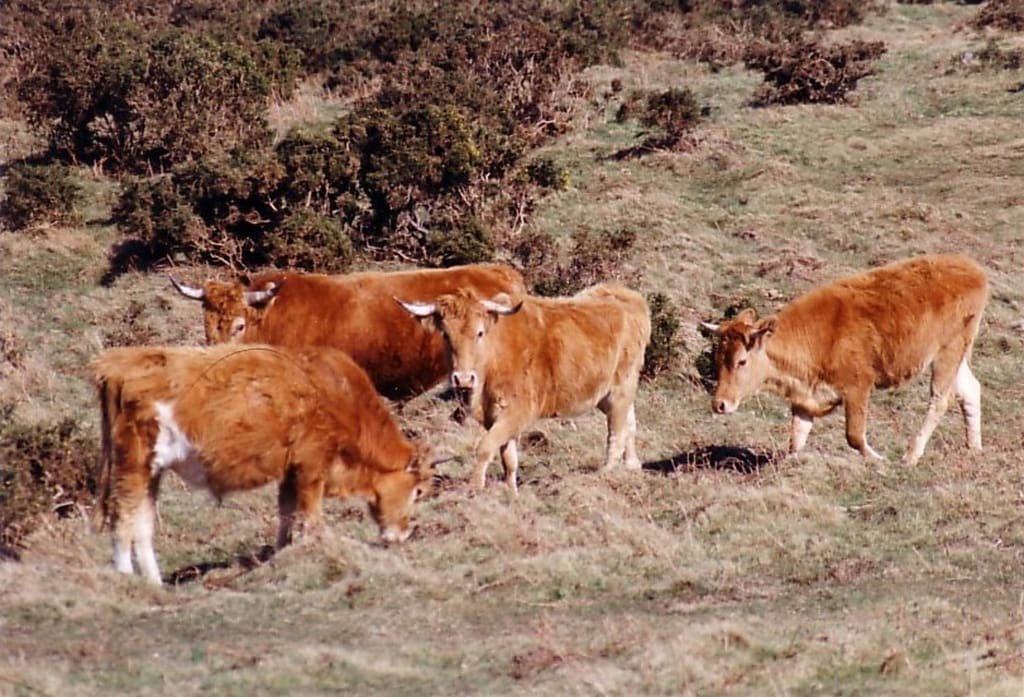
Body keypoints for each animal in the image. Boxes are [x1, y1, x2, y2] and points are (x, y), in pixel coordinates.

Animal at [91, 343, 435, 584]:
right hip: (134, 462)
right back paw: (125, 578)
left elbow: (286, 514)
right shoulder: (312, 467)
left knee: (143, 523)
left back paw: (154, 582)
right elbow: (311, 518)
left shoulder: (290, 471)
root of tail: (120, 362)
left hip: (152, 471)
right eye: (418, 492)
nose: (403, 534)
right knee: (123, 516)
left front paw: (280, 555)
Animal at [398, 283, 651, 492]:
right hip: (609, 395)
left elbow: (485, 447)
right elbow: (508, 457)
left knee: (616, 433)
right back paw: (632, 465)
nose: (463, 378)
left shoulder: (517, 411)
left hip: (621, 388)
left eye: (479, 333)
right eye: (445, 334)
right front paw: (511, 490)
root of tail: (627, 296)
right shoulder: (496, 415)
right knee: (630, 422)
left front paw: (475, 486)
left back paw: (606, 472)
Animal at [701, 254, 989, 464]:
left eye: (741, 361)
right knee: (970, 390)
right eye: (717, 359)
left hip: (948, 352)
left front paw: (878, 460)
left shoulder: (857, 388)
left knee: (940, 400)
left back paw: (910, 456)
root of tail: (971, 268)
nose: (720, 404)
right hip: (958, 355)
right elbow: (796, 440)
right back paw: (974, 448)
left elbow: (854, 435)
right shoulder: (804, 399)